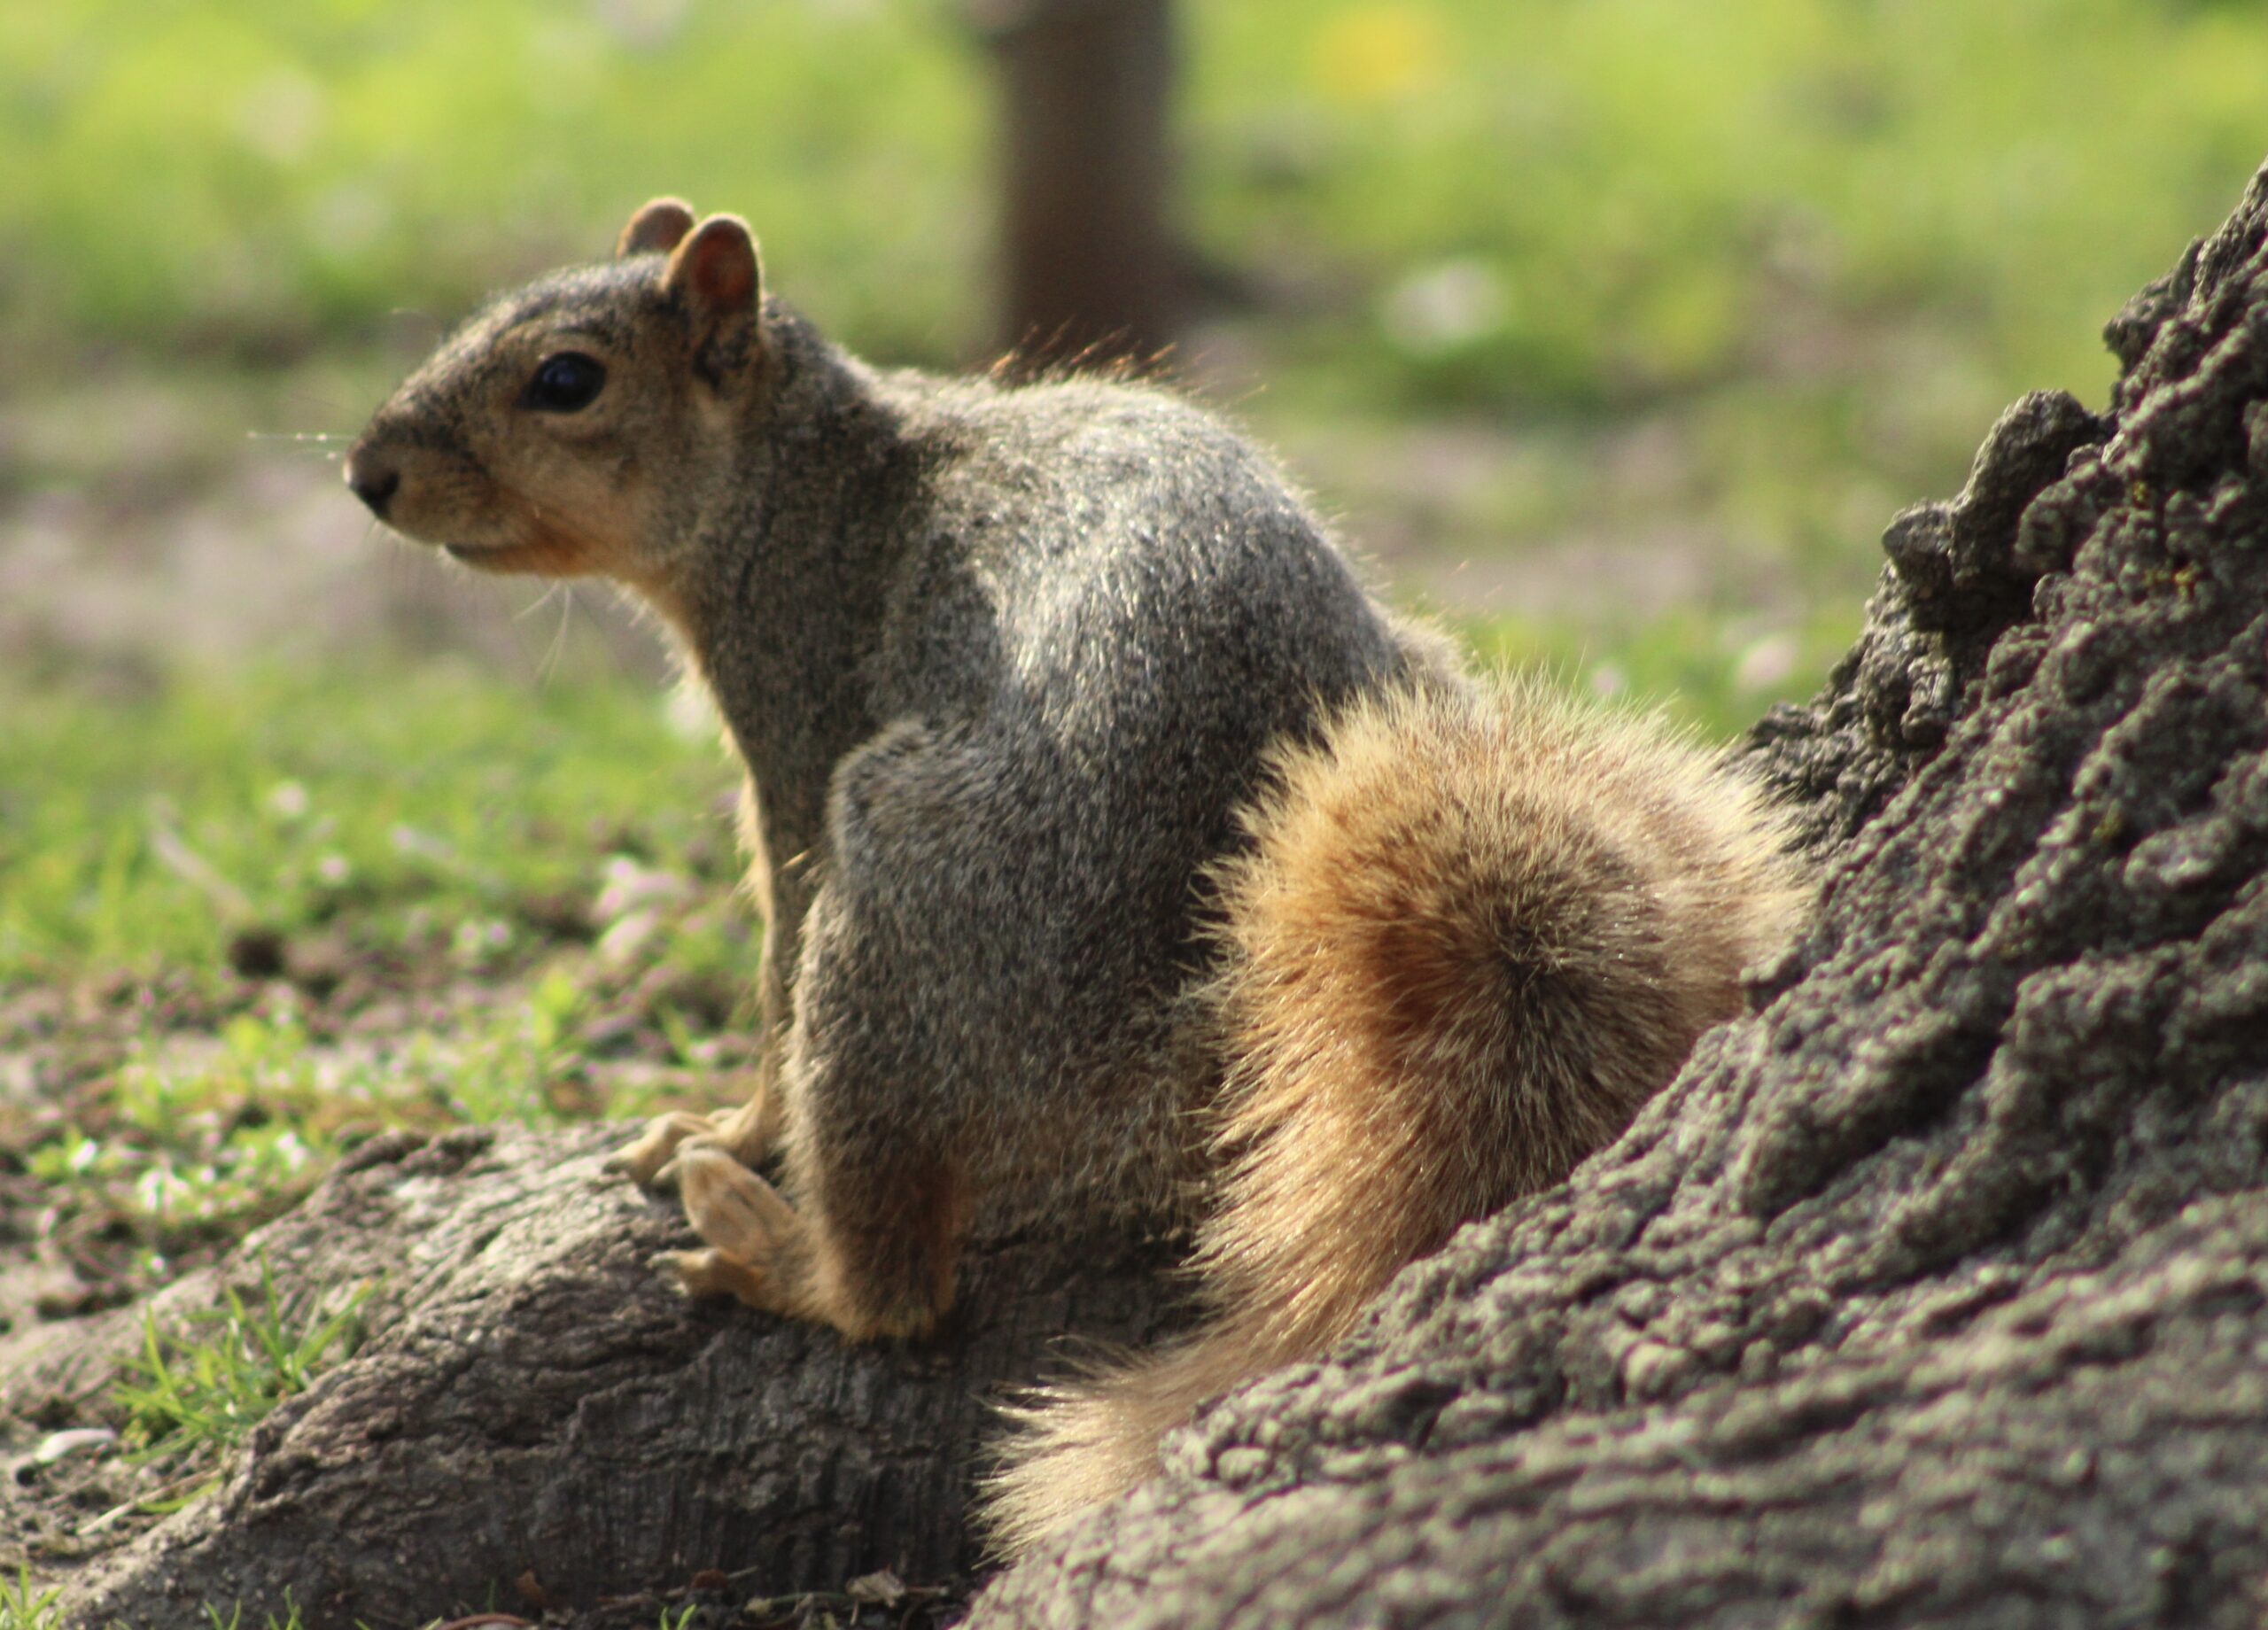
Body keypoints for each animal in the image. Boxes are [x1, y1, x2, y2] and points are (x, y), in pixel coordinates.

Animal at [345, 200, 1814, 1559]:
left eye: (566, 379)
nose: (367, 473)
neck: (812, 473)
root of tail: (1190, 1044)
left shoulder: (797, 706)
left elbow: (772, 954)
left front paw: (727, 1124)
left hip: (904, 889)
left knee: (903, 1286)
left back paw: (790, 1257)